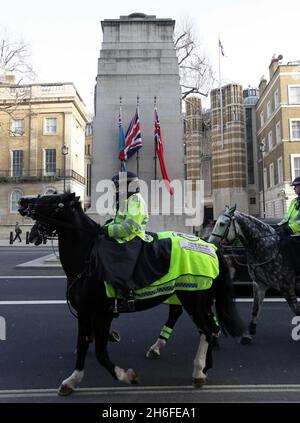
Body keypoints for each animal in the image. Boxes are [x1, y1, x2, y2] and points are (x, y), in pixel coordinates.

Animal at [17, 194, 244, 396]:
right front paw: (71, 381)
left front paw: (126, 376)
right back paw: (203, 365)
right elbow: (82, 346)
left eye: (51, 199)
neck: (88, 258)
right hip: (194, 298)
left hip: (193, 299)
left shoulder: (103, 313)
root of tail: (212, 246)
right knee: (205, 327)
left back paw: (198, 370)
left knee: (206, 329)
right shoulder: (84, 313)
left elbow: (101, 353)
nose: (21, 201)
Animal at [209, 205, 300, 344]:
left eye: (222, 223)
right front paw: (249, 334)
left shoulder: (287, 288)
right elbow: (255, 309)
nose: (210, 243)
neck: (268, 248)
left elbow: (296, 310)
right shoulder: (259, 284)